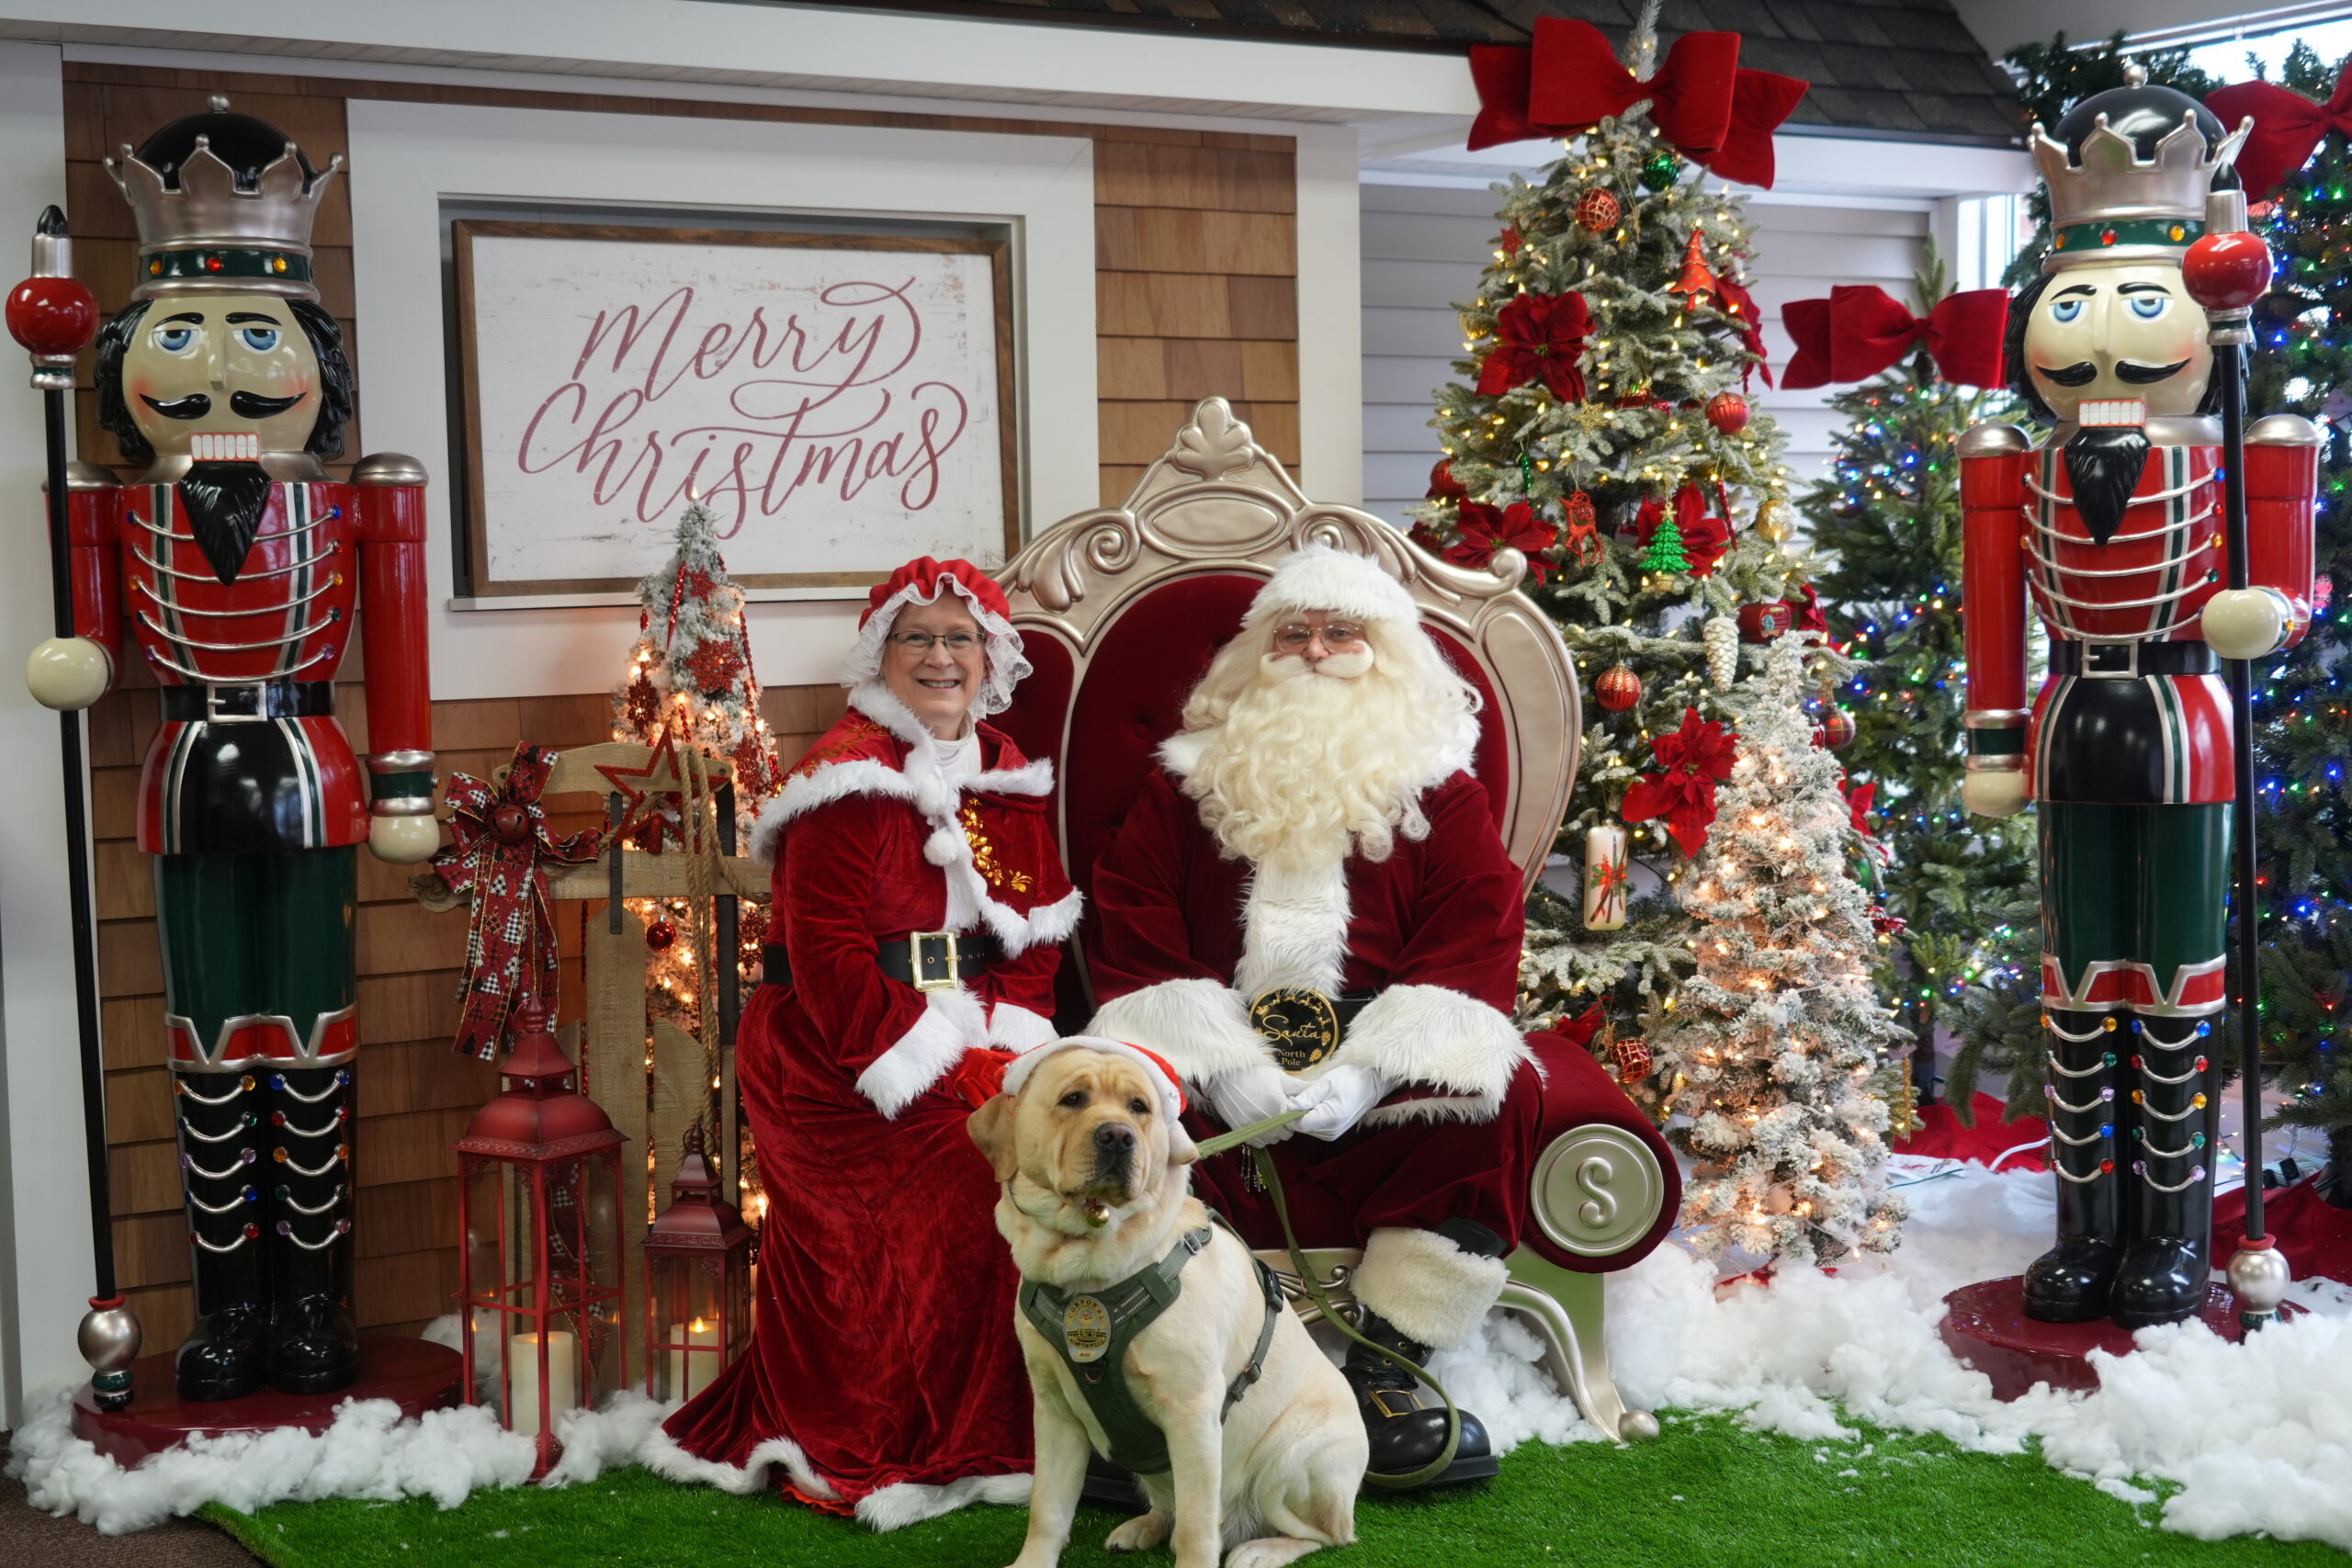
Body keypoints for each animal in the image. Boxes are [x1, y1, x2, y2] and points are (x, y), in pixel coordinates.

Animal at [970, 1039, 1364, 1568]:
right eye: (1073, 1099)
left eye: (1139, 1107)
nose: (1118, 1136)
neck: (1089, 1273)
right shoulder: (1054, 1410)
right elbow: (1046, 1508)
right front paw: (1032, 1561)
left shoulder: (1192, 1410)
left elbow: (1198, 1527)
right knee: (1171, 1507)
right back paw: (1144, 1527)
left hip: (1290, 1461)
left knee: (1323, 1534)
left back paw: (1260, 1549)